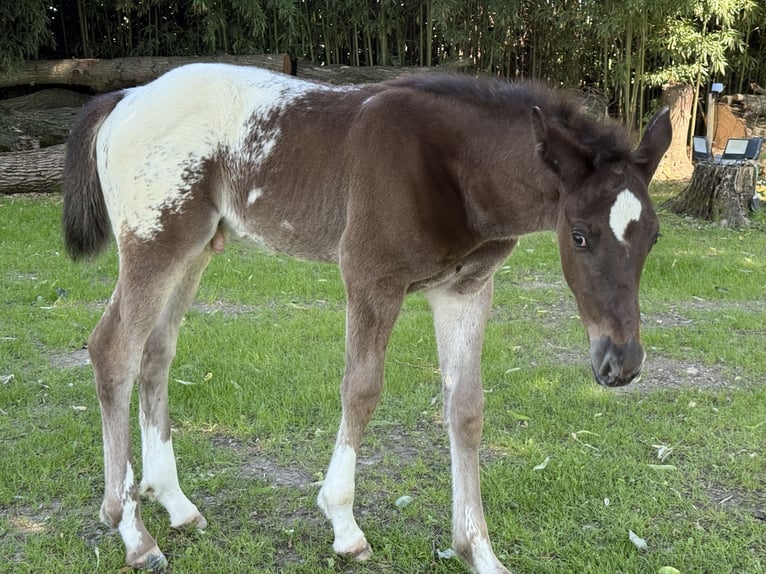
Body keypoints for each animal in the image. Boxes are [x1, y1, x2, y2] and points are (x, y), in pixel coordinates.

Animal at [62, 63, 671, 573]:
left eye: (654, 236)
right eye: (579, 235)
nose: (621, 362)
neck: (453, 167)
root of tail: (126, 97)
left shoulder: (465, 290)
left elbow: (466, 408)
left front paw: (477, 551)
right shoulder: (371, 279)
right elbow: (361, 389)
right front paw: (344, 524)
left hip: (196, 248)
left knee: (156, 353)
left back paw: (175, 502)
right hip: (156, 243)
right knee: (114, 350)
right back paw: (131, 531)